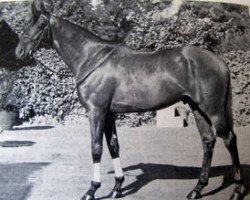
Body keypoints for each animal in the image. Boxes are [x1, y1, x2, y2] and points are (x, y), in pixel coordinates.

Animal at [14, 0, 245, 199]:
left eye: (40, 24)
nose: (19, 52)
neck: (92, 59)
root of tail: (219, 61)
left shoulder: (96, 112)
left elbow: (96, 148)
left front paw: (92, 190)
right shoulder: (108, 114)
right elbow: (113, 146)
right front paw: (117, 187)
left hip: (214, 110)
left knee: (229, 139)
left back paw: (238, 190)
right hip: (198, 108)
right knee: (208, 141)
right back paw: (197, 189)